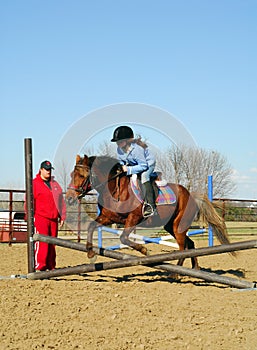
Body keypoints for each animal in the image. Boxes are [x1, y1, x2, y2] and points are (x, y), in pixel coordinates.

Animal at [66, 154, 230, 268]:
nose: (69, 198)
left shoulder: (133, 218)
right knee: (190, 244)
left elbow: (123, 238)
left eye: (82, 175)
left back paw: (176, 273)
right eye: (72, 175)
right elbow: (91, 227)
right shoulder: (109, 218)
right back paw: (195, 268)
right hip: (171, 226)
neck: (115, 189)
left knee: (183, 247)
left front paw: (145, 251)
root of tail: (191, 195)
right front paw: (91, 253)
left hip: (179, 226)